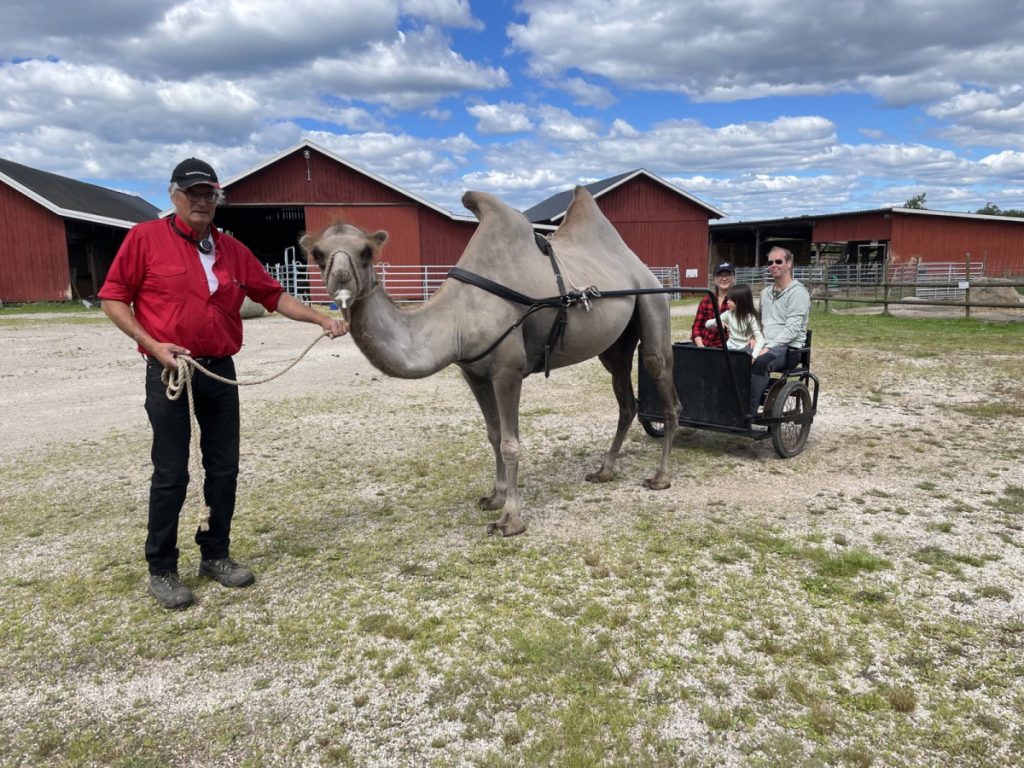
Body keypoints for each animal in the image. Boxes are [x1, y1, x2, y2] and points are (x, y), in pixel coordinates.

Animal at [299, 186, 679, 536]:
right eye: (317, 254)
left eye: (366, 252)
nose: (340, 279)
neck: (456, 317)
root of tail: (642, 268)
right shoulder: (474, 372)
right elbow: (494, 435)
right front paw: (494, 498)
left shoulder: (507, 370)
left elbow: (511, 443)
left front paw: (511, 519)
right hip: (614, 346)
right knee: (626, 401)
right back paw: (604, 471)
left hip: (652, 304)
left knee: (663, 385)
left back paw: (660, 477)